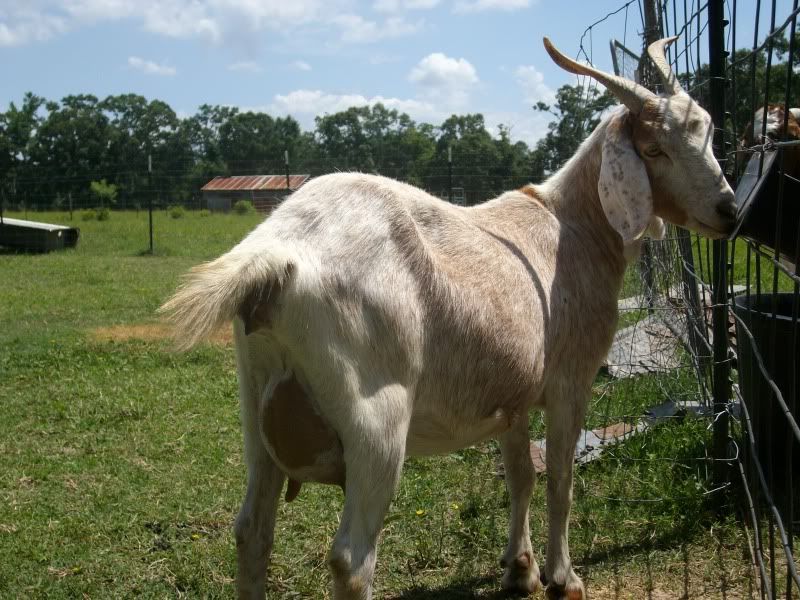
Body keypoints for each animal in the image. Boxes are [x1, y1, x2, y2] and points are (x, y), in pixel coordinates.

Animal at [160, 36, 737, 600]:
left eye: (707, 132)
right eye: (654, 148)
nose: (728, 210)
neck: (575, 228)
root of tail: (275, 254)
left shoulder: (514, 395)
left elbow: (521, 475)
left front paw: (520, 569)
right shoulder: (571, 381)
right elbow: (561, 480)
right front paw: (563, 578)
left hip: (256, 399)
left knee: (253, 531)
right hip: (376, 415)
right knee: (351, 560)